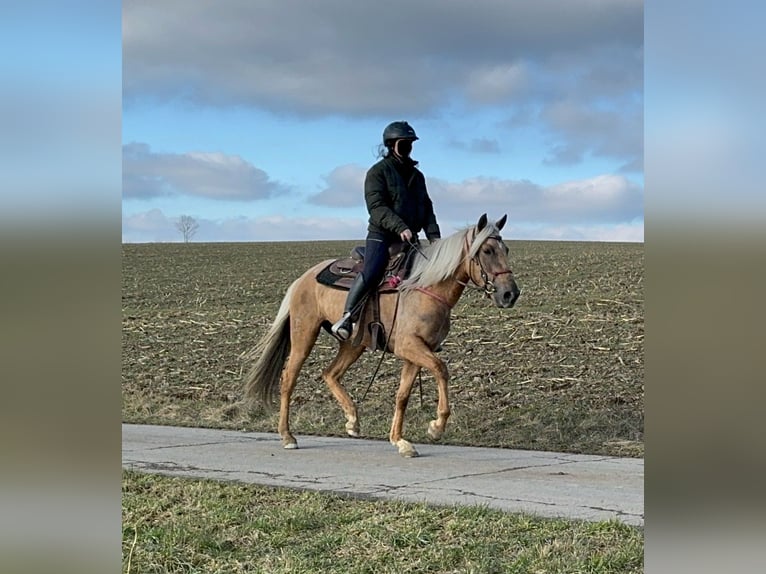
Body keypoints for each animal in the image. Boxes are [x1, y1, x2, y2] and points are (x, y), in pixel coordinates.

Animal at [246, 213, 520, 460]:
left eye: (505, 248)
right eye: (487, 251)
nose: (510, 294)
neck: (426, 287)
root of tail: (302, 279)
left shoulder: (416, 352)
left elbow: (402, 395)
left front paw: (400, 441)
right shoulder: (410, 347)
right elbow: (441, 370)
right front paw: (436, 426)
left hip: (353, 343)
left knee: (330, 373)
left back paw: (352, 421)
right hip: (304, 335)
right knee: (288, 379)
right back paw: (287, 436)